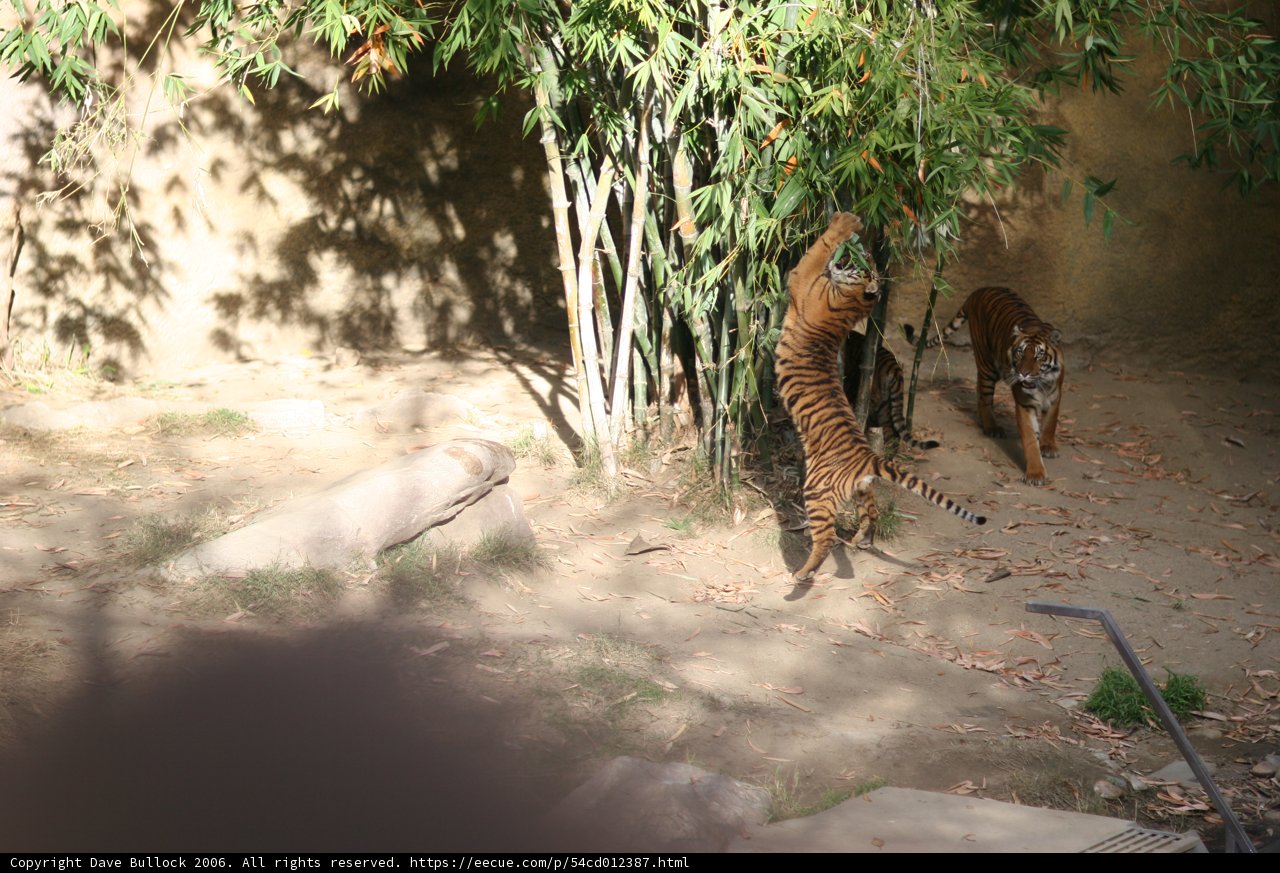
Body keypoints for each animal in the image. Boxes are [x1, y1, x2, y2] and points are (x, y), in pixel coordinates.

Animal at [774, 212, 987, 582]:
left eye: (868, 263)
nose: (864, 250)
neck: (852, 301)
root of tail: (866, 457)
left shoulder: (802, 280)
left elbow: (817, 250)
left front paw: (844, 221)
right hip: (861, 488)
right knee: (871, 512)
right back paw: (861, 540)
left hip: (817, 490)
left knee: (826, 538)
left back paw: (803, 574)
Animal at [905, 285, 1063, 486]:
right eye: (1020, 353)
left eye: (1039, 356)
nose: (1023, 373)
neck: (1042, 384)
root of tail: (979, 291)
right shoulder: (1024, 404)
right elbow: (1029, 438)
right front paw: (1035, 473)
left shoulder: (1055, 396)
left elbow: (1051, 422)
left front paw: (1048, 446)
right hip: (987, 363)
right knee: (984, 396)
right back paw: (992, 427)